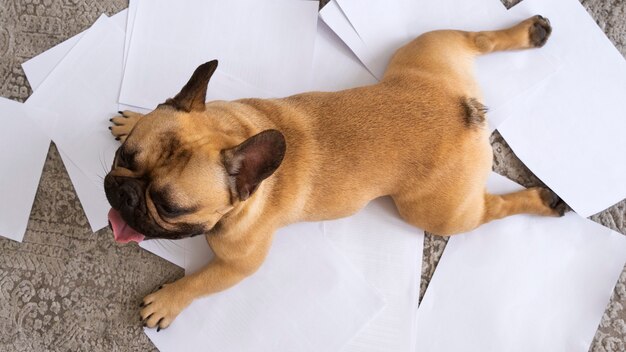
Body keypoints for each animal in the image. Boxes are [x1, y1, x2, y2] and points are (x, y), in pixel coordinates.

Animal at [103, 15, 560, 330]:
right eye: (124, 156)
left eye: (169, 206)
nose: (126, 195)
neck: (231, 132)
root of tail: (469, 114)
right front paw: (132, 120)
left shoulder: (238, 265)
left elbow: (199, 283)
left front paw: (168, 302)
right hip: (428, 50)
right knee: (477, 39)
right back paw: (529, 32)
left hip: (435, 211)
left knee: (490, 210)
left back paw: (542, 198)